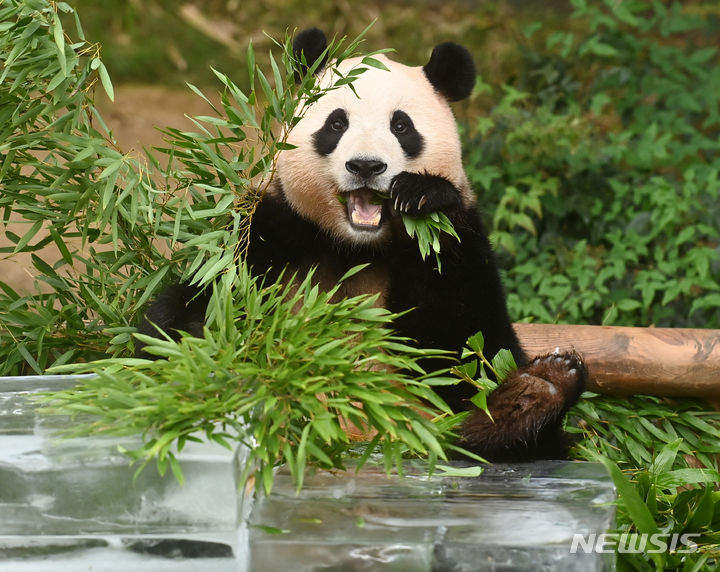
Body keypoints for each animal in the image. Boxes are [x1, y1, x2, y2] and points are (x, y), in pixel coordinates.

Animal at [138, 27, 588, 464]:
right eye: (336, 124)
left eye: (401, 127)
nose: (367, 166)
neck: (355, 246)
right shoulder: (270, 231)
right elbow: (199, 305)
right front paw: (216, 354)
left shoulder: (460, 240)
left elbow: (466, 338)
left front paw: (422, 195)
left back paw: (537, 392)